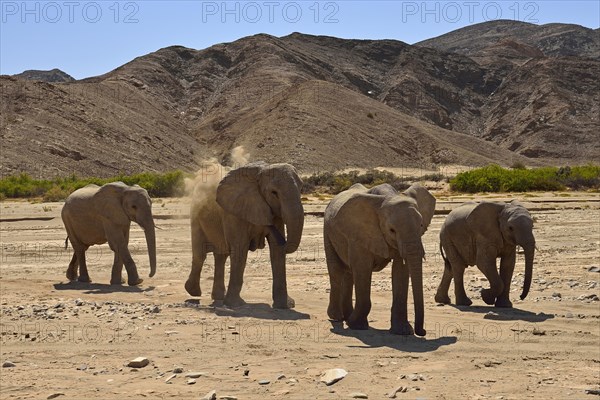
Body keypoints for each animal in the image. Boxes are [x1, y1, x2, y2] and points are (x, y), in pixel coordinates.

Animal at [183, 161, 304, 308]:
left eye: (301, 188)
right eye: (274, 192)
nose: (284, 241)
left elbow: (276, 250)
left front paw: (285, 306)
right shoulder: (233, 211)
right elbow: (240, 248)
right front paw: (235, 305)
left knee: (221, 255)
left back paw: (218, 297)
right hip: (196, 214)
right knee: (201, 254)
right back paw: (194, 292)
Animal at [324, 183, 436, 336]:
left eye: (421, 225)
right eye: (392, 230)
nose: (423, 331)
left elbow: (400, 271)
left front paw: (402, 331)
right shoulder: (359, 233)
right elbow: (362, 269)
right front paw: (357, 326)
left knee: (348, 273)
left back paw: (347, 316)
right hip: (327, 230)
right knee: (336, 270)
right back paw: (337, 317)